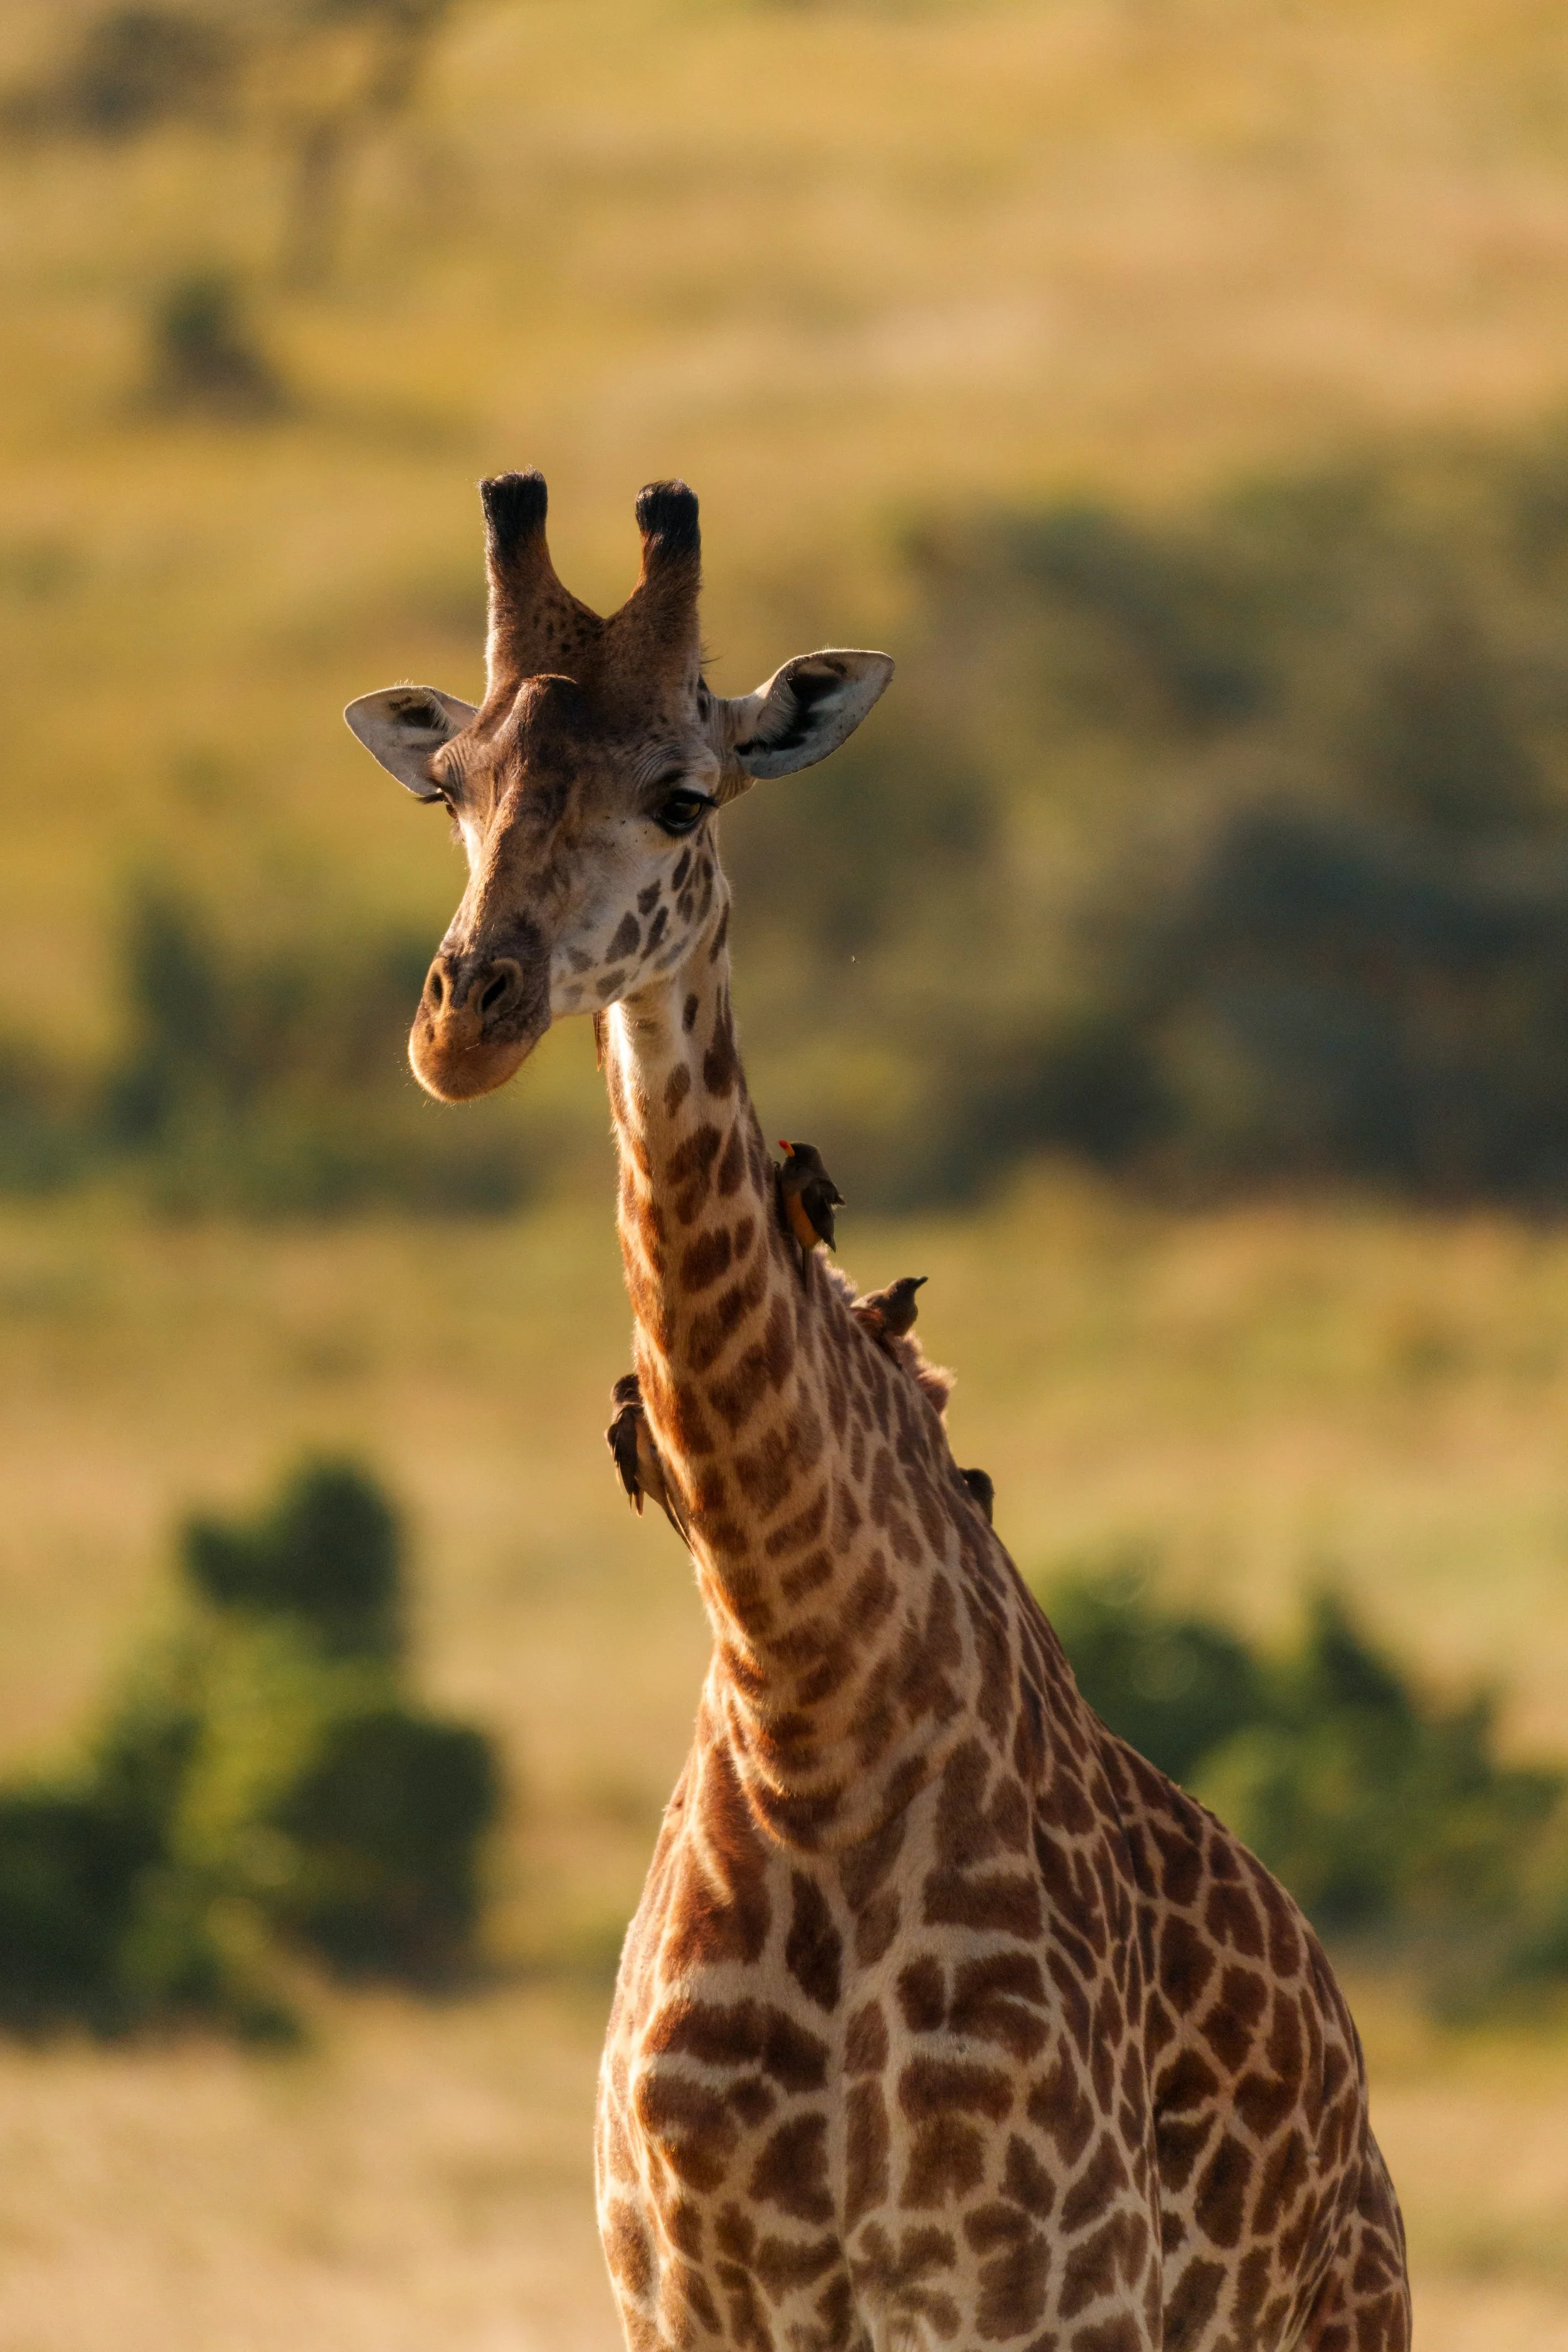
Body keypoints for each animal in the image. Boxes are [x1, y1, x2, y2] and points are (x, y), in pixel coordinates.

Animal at [345, 471, 1411, 2352]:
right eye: (450, 784)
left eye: (684, 790)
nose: (464, 1019)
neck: (808, 1711)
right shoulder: (695, 2301)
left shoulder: (1028, 2294)